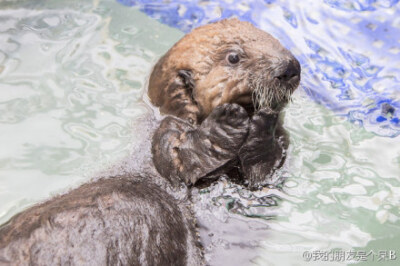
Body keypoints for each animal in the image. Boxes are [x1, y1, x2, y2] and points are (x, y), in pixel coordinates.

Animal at [0, 17, 300, 264]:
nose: (290, 66)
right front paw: (228, 122)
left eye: (274, 40)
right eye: (234, 57)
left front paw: (265, 122)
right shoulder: (164, 131)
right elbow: (175, 159)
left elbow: (260, 178)